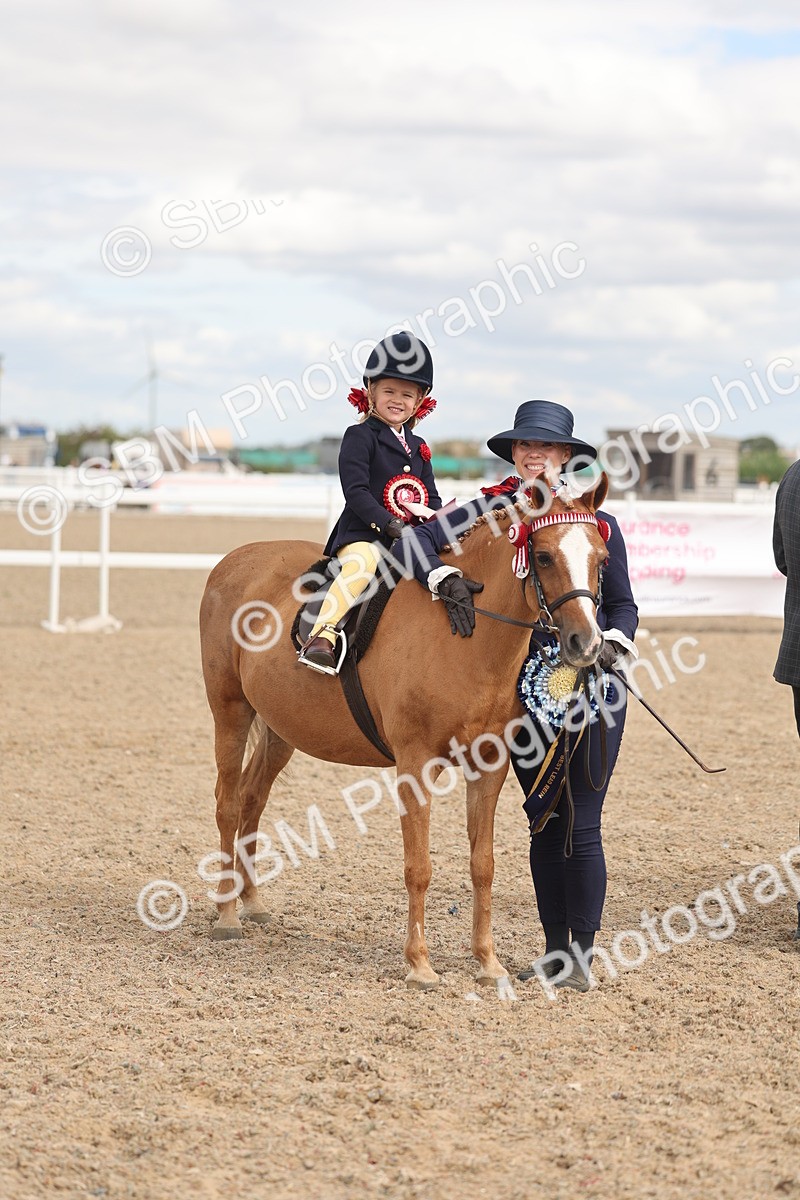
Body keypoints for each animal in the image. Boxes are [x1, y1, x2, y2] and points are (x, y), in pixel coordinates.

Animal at [198, 473, 610, 989]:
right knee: (229, 805)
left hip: (279, 728)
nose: (587, 644)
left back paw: (252, 903)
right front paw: (419, 964)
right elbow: (419, 868)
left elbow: (483, 865)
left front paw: (487, 962)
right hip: (230, 712)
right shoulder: (415, 765)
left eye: (602, 558)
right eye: (544, 556)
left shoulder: (488, 767)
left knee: (253, 799)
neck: (465, 636)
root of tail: (236, 558)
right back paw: (227, 915)